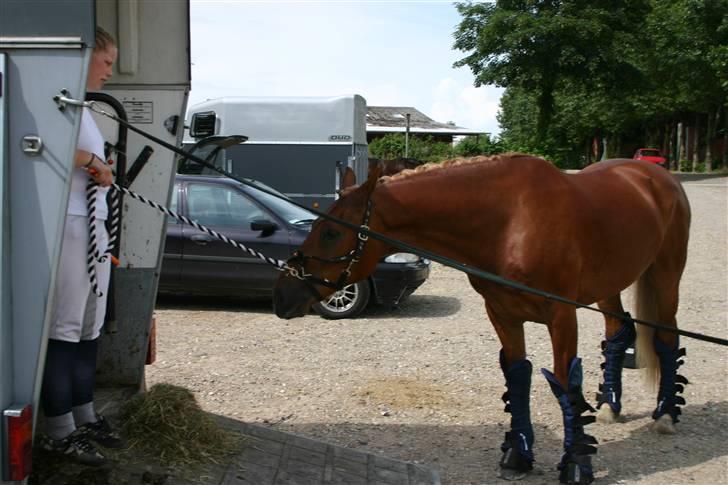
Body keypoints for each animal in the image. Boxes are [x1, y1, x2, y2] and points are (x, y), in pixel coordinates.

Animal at [272, 153, 688, 482]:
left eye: (330, 232)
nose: (282, 295)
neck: (512, 222)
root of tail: (656, 176)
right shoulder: (502, 314)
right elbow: (517, 376)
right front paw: (519, 455)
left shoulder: (561, 315)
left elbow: (565, 384)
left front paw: (575, 463)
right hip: (609, 285)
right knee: (618, 333)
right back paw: (610, 406)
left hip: (666, 276)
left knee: (668, 338)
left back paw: (666, 415)